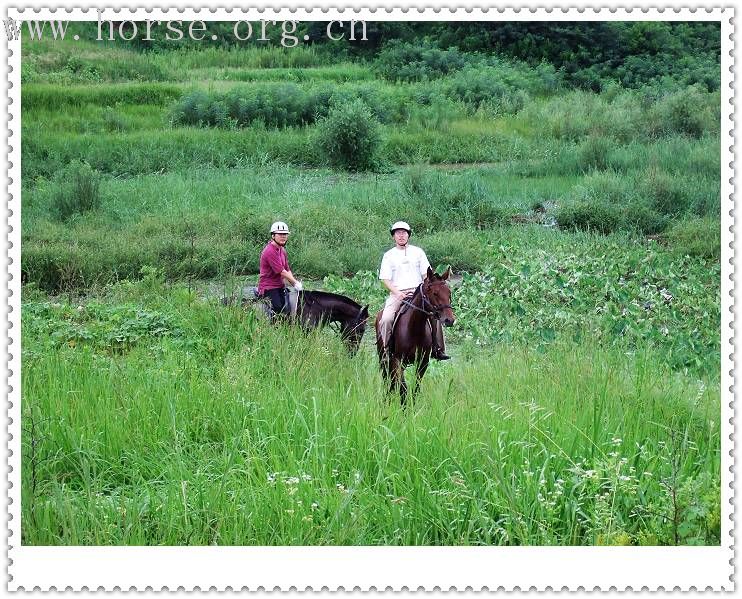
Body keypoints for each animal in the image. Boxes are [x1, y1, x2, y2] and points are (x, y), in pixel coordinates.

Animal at [374, 266, 456, 404]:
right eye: (435, 293)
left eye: (449, 293)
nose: (449, 320)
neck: (414, 329)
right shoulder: (398, 361)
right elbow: (403, 389)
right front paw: (403, 408)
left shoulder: (422, 362)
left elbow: (415, 388)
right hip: (384, 359)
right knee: (388, 381)